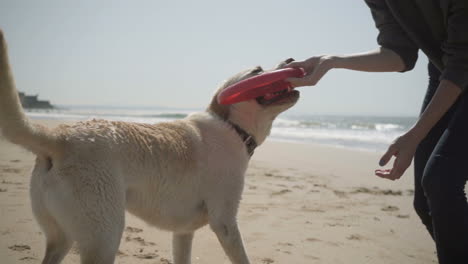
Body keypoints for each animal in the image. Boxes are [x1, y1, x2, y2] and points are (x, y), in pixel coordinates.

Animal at [0, 29, 300, 262]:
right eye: (257, 71)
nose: (292, 59)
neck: (231, 126)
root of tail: (59, 137)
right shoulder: (225, 222)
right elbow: (242, 256)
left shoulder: (183, 232)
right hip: (103, 236)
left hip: (61, 238)